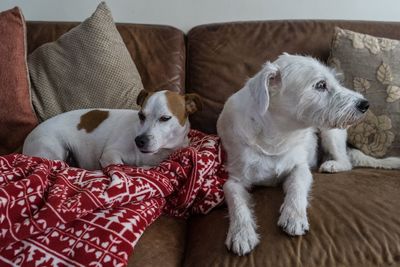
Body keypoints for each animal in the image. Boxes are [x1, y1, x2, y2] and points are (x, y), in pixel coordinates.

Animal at [23, 90, 202, 170]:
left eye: (165, 118)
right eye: (141, 116)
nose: (139, 140)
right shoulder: (110, 154)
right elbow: (119, 165)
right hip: (51, 150)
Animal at [217, 53, 400, 256]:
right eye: (320, 85)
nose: (365, 104)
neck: (276, 135)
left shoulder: (300, 167)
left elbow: (297, 187)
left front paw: (293, 216)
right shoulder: (234, 180)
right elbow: (237, 203)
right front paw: (241, 233)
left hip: (330, 133)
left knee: (346, 161)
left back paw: (332, 164)